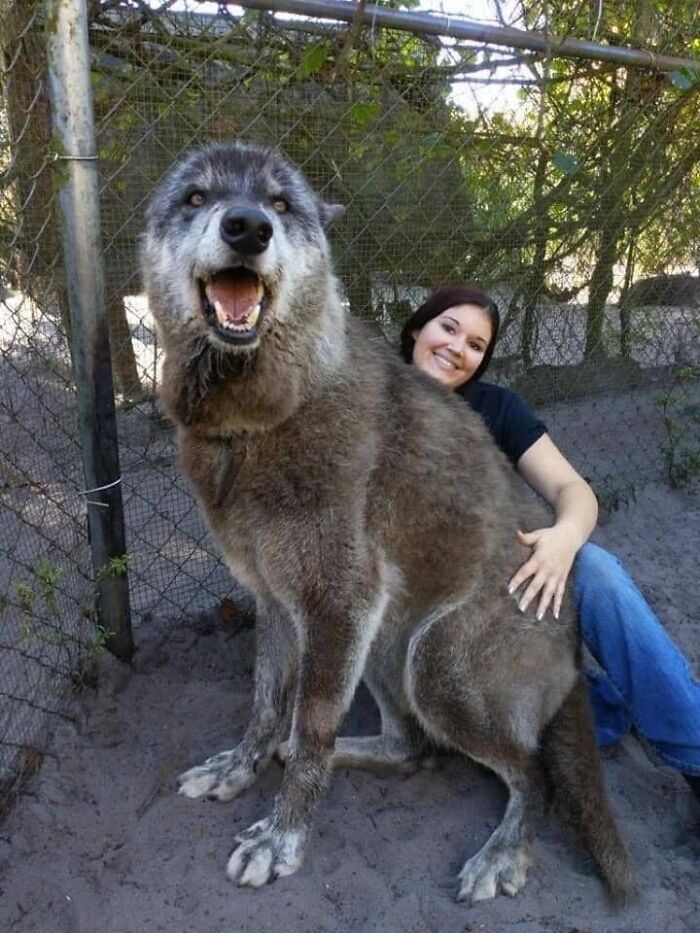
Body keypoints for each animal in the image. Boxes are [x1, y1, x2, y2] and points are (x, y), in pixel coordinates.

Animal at [141, 142, 633, 904]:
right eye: (195, 197)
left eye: (281, 204)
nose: (248, 227)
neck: (259, 419)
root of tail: (575, 648)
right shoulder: (278, 602)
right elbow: (265, 703)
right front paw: (240, 767)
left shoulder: (338, 602)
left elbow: (310, 723)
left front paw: (282, 838)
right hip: (382, 643)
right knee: (410, 748)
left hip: (433, 661)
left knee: (533, 774)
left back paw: (501, 853)